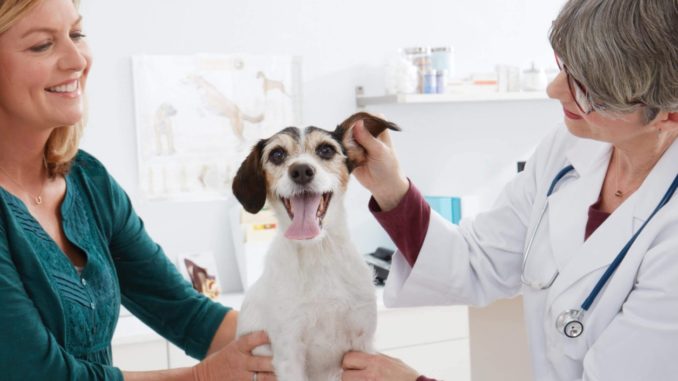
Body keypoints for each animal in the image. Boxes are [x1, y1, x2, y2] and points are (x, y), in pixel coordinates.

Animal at [234, 112, 404, 380]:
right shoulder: (289, 354)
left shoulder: (362, 346)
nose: (301, 170)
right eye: (277, 154)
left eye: (326, 150)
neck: (318, 254)